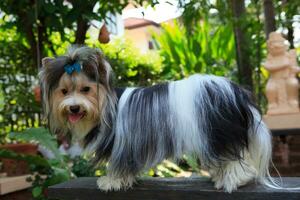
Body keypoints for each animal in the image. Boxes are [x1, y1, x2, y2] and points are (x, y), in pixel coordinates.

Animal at [40, 45, 284, 192]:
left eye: (86, 89)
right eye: (64, 91)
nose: (73, 107)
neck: (109, 106)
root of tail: (237, 92)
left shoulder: (124, 145)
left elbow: (118, 165)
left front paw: (111, 181)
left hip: (219, 133)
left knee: (234, 158)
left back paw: (232, 180)